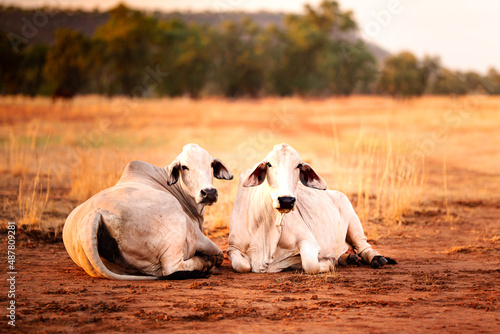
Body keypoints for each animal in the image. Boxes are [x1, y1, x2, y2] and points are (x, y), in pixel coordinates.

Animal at [63, 144, 233, 280]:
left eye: (211, 164)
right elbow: (219, 253)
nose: (209, 192)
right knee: (173, 267)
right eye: (184, 167)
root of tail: (96, 213)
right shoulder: (199, 237)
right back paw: (204, 264)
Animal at [229, 144, 396, 274]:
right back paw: (348, 258)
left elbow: (310, 265)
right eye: (269, 164)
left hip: (354, 222)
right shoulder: (233, 247)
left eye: (298, 165)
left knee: (364, 246)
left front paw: (328, 262)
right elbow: (241, 265)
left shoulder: (308, 240)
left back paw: (376, 259)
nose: (286, 200)